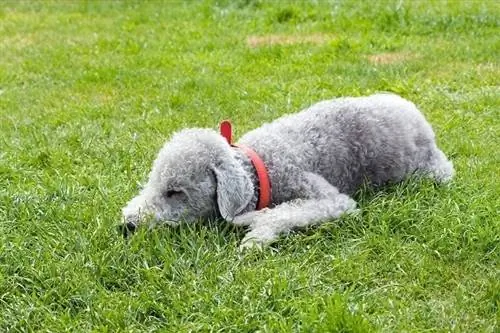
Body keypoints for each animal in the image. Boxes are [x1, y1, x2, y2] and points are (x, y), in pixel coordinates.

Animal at [120, 92, 454, 248]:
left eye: (175, 192)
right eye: (152, 183)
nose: (127, 226)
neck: (258, 168)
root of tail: (417, 115)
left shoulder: (332, 200)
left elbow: (283, 213)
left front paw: (255, 234)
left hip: (431, 171)